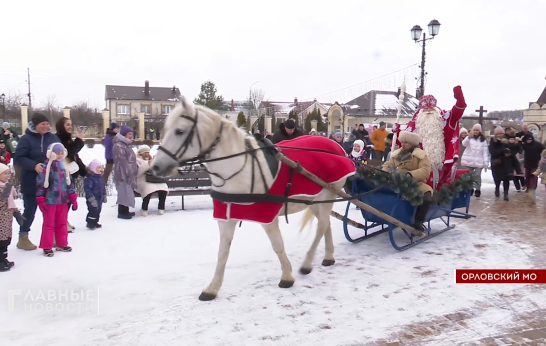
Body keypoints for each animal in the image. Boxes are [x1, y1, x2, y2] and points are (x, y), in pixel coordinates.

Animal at [151, 96, 346, 300]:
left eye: (180, 131)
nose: (155, 167)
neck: (239, 169)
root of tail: (336, 146)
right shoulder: (226, 216)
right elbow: (222, 252)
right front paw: (212, 287)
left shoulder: (268, 216)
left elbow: (278, 245)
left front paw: (287, 276)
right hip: (316, 201)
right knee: (326, 224)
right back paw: (328, 256)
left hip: (328, 194)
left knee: (321, 226)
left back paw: (307, 263)